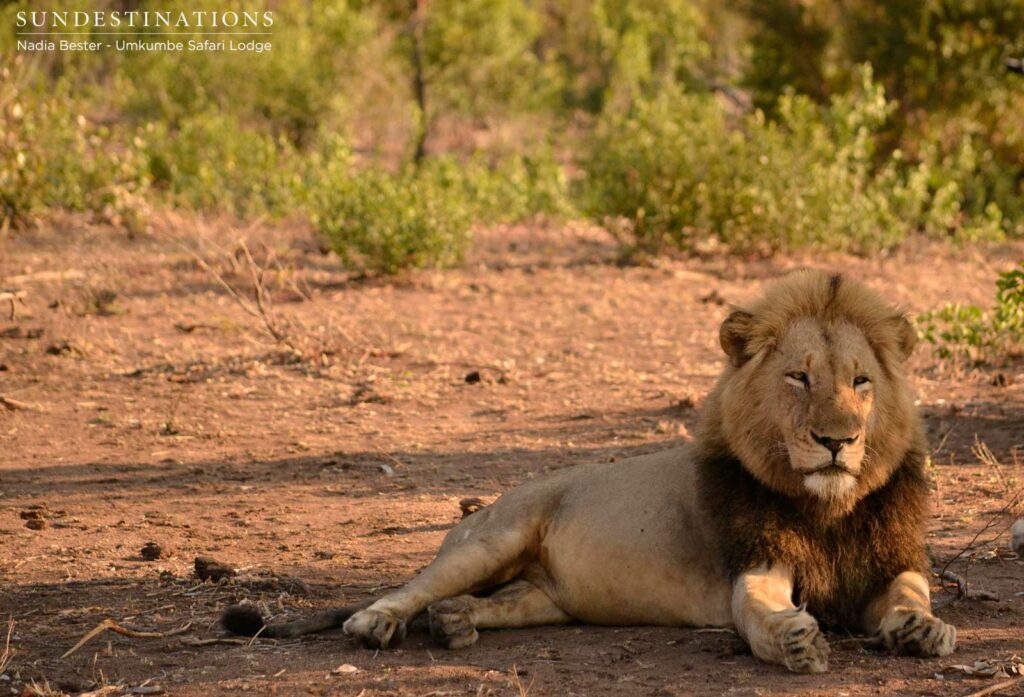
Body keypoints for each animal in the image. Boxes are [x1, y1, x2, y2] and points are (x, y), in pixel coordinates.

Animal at [223, 270, 955, 673]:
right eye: (799, 378)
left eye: (860, 381)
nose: (837, 440)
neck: (828, 506)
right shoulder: (755, 566)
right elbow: (762, 614)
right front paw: (796, 640)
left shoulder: (892, 560)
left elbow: (911, 595)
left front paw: (922, 629)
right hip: (491, 538)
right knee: (406, 588)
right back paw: (379, 623)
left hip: (542, 597)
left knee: (492, 602)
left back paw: (454, 622)